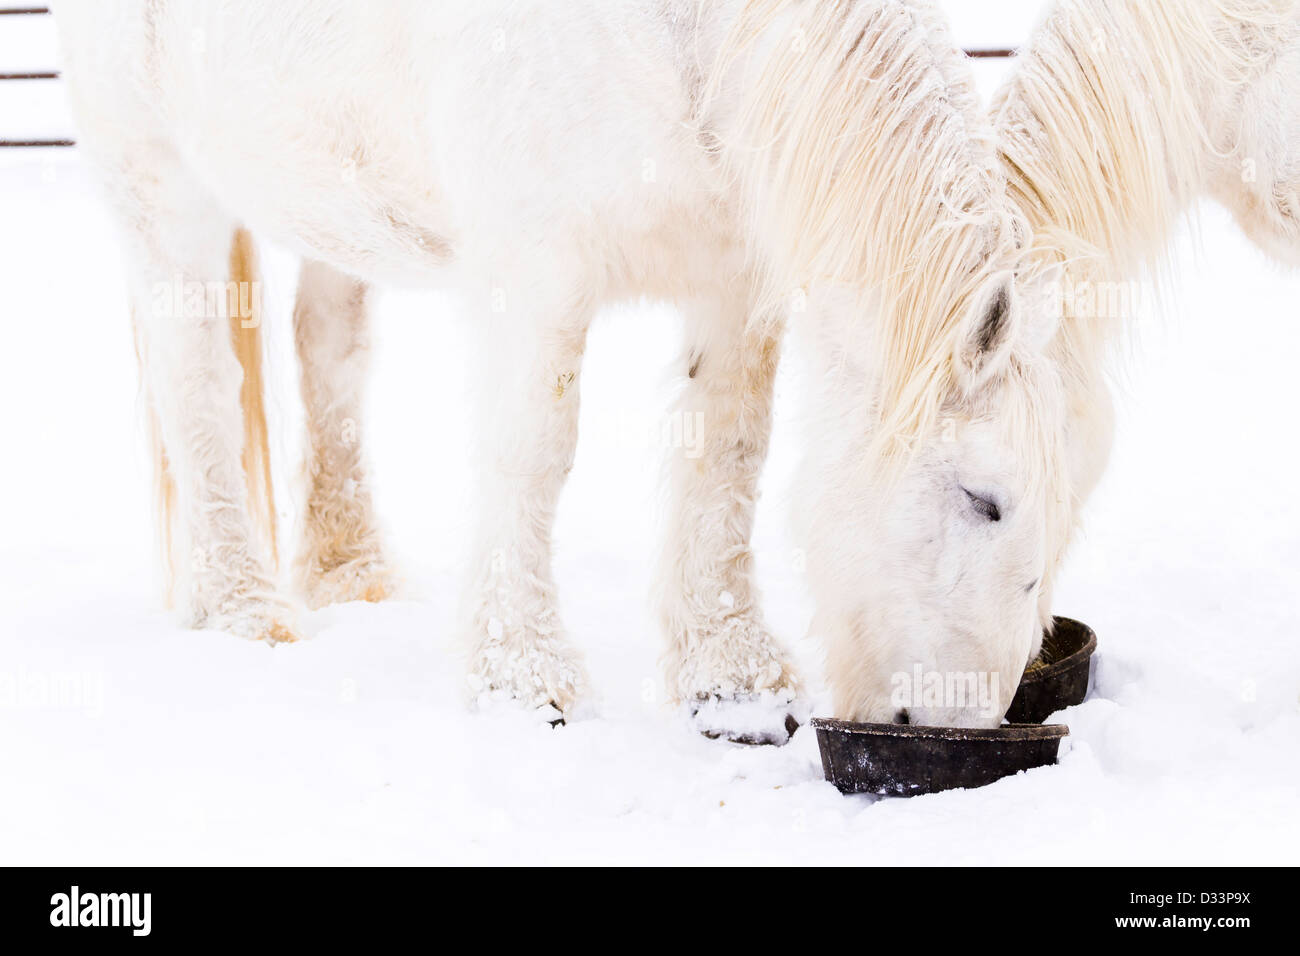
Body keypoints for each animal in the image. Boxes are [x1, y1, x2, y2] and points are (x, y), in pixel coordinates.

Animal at [51, 0, 1025, 741]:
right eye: (984, 500)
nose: (960, 723)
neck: (686, 36)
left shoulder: (732, 278)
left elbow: (729, 452)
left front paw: (733, 683)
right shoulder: (537, 278)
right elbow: (534, 456)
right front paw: (523, 679)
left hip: (335, 204)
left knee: (327, 355)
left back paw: (352, 574)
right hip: (161, 192)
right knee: (198, 386)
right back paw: (244, 612)